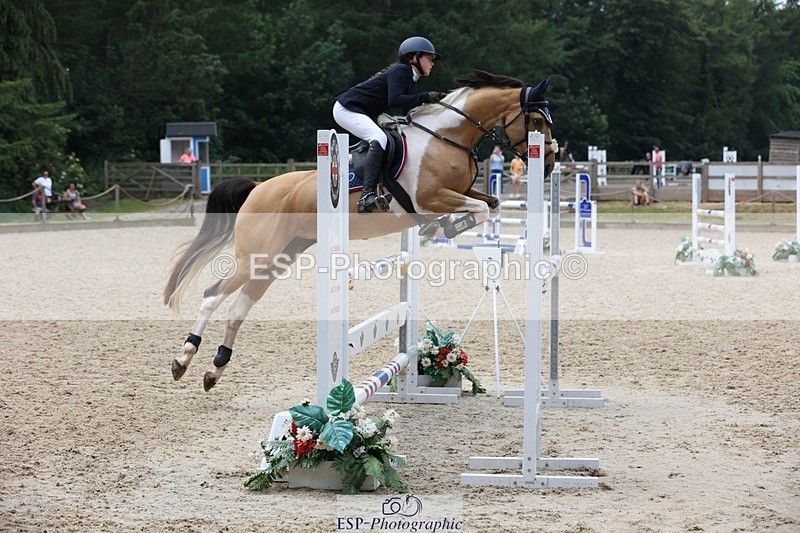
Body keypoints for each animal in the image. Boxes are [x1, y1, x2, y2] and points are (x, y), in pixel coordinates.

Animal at [164, 70, 556, 391]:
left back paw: (215, 369)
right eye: (537, 118)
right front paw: (447, 226)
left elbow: (491, 205)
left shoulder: (459, 192)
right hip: (255, 257)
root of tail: (258, 187)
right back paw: (183, 358)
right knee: (213, 295)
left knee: (238, 306)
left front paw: (449, 226)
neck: (446, 137)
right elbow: (478, 210)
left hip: (277, 258)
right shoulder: (431, 197)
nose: (550, 164)